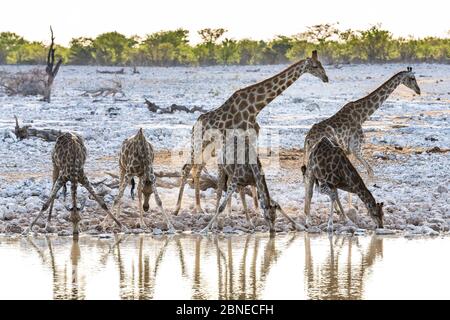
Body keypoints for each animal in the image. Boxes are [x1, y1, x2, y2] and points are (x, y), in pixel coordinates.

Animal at [173, 50, 326, 215]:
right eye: (315, 66)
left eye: (321, 64)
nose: (326, 78)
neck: (255, 107)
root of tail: (195, 124)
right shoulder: (241, 138)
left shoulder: (251, 138)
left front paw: (253, 209)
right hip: (199, 142)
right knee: (187, 168)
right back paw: (177, 209)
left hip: (209, 146)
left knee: (197, 169)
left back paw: (199, 207)